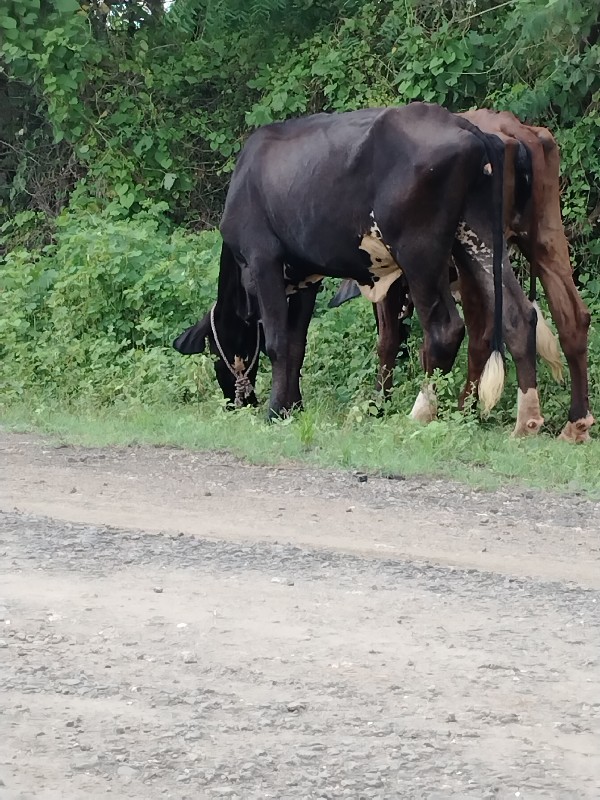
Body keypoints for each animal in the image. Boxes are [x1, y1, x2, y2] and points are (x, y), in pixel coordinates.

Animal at [175, 104, 544, 438]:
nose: (235, 402)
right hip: (477, 236)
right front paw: (294, 407)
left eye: (216, 348)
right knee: (518, 316)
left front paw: (274, 412)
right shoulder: (307, 276)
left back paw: (421, 412)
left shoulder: (263, 260)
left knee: (444, 329)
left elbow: (278, 342)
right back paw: (526, 420)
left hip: (420, 252)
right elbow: (296, 346)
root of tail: (466, 127)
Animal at [330, 109, 592, 440]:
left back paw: (471, 411)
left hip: (474, 251)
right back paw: (576, 422)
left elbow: (389, 341)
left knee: (486, 335)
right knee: (572, 317)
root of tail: (513, 129)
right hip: (544, 236)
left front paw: (379, 404)